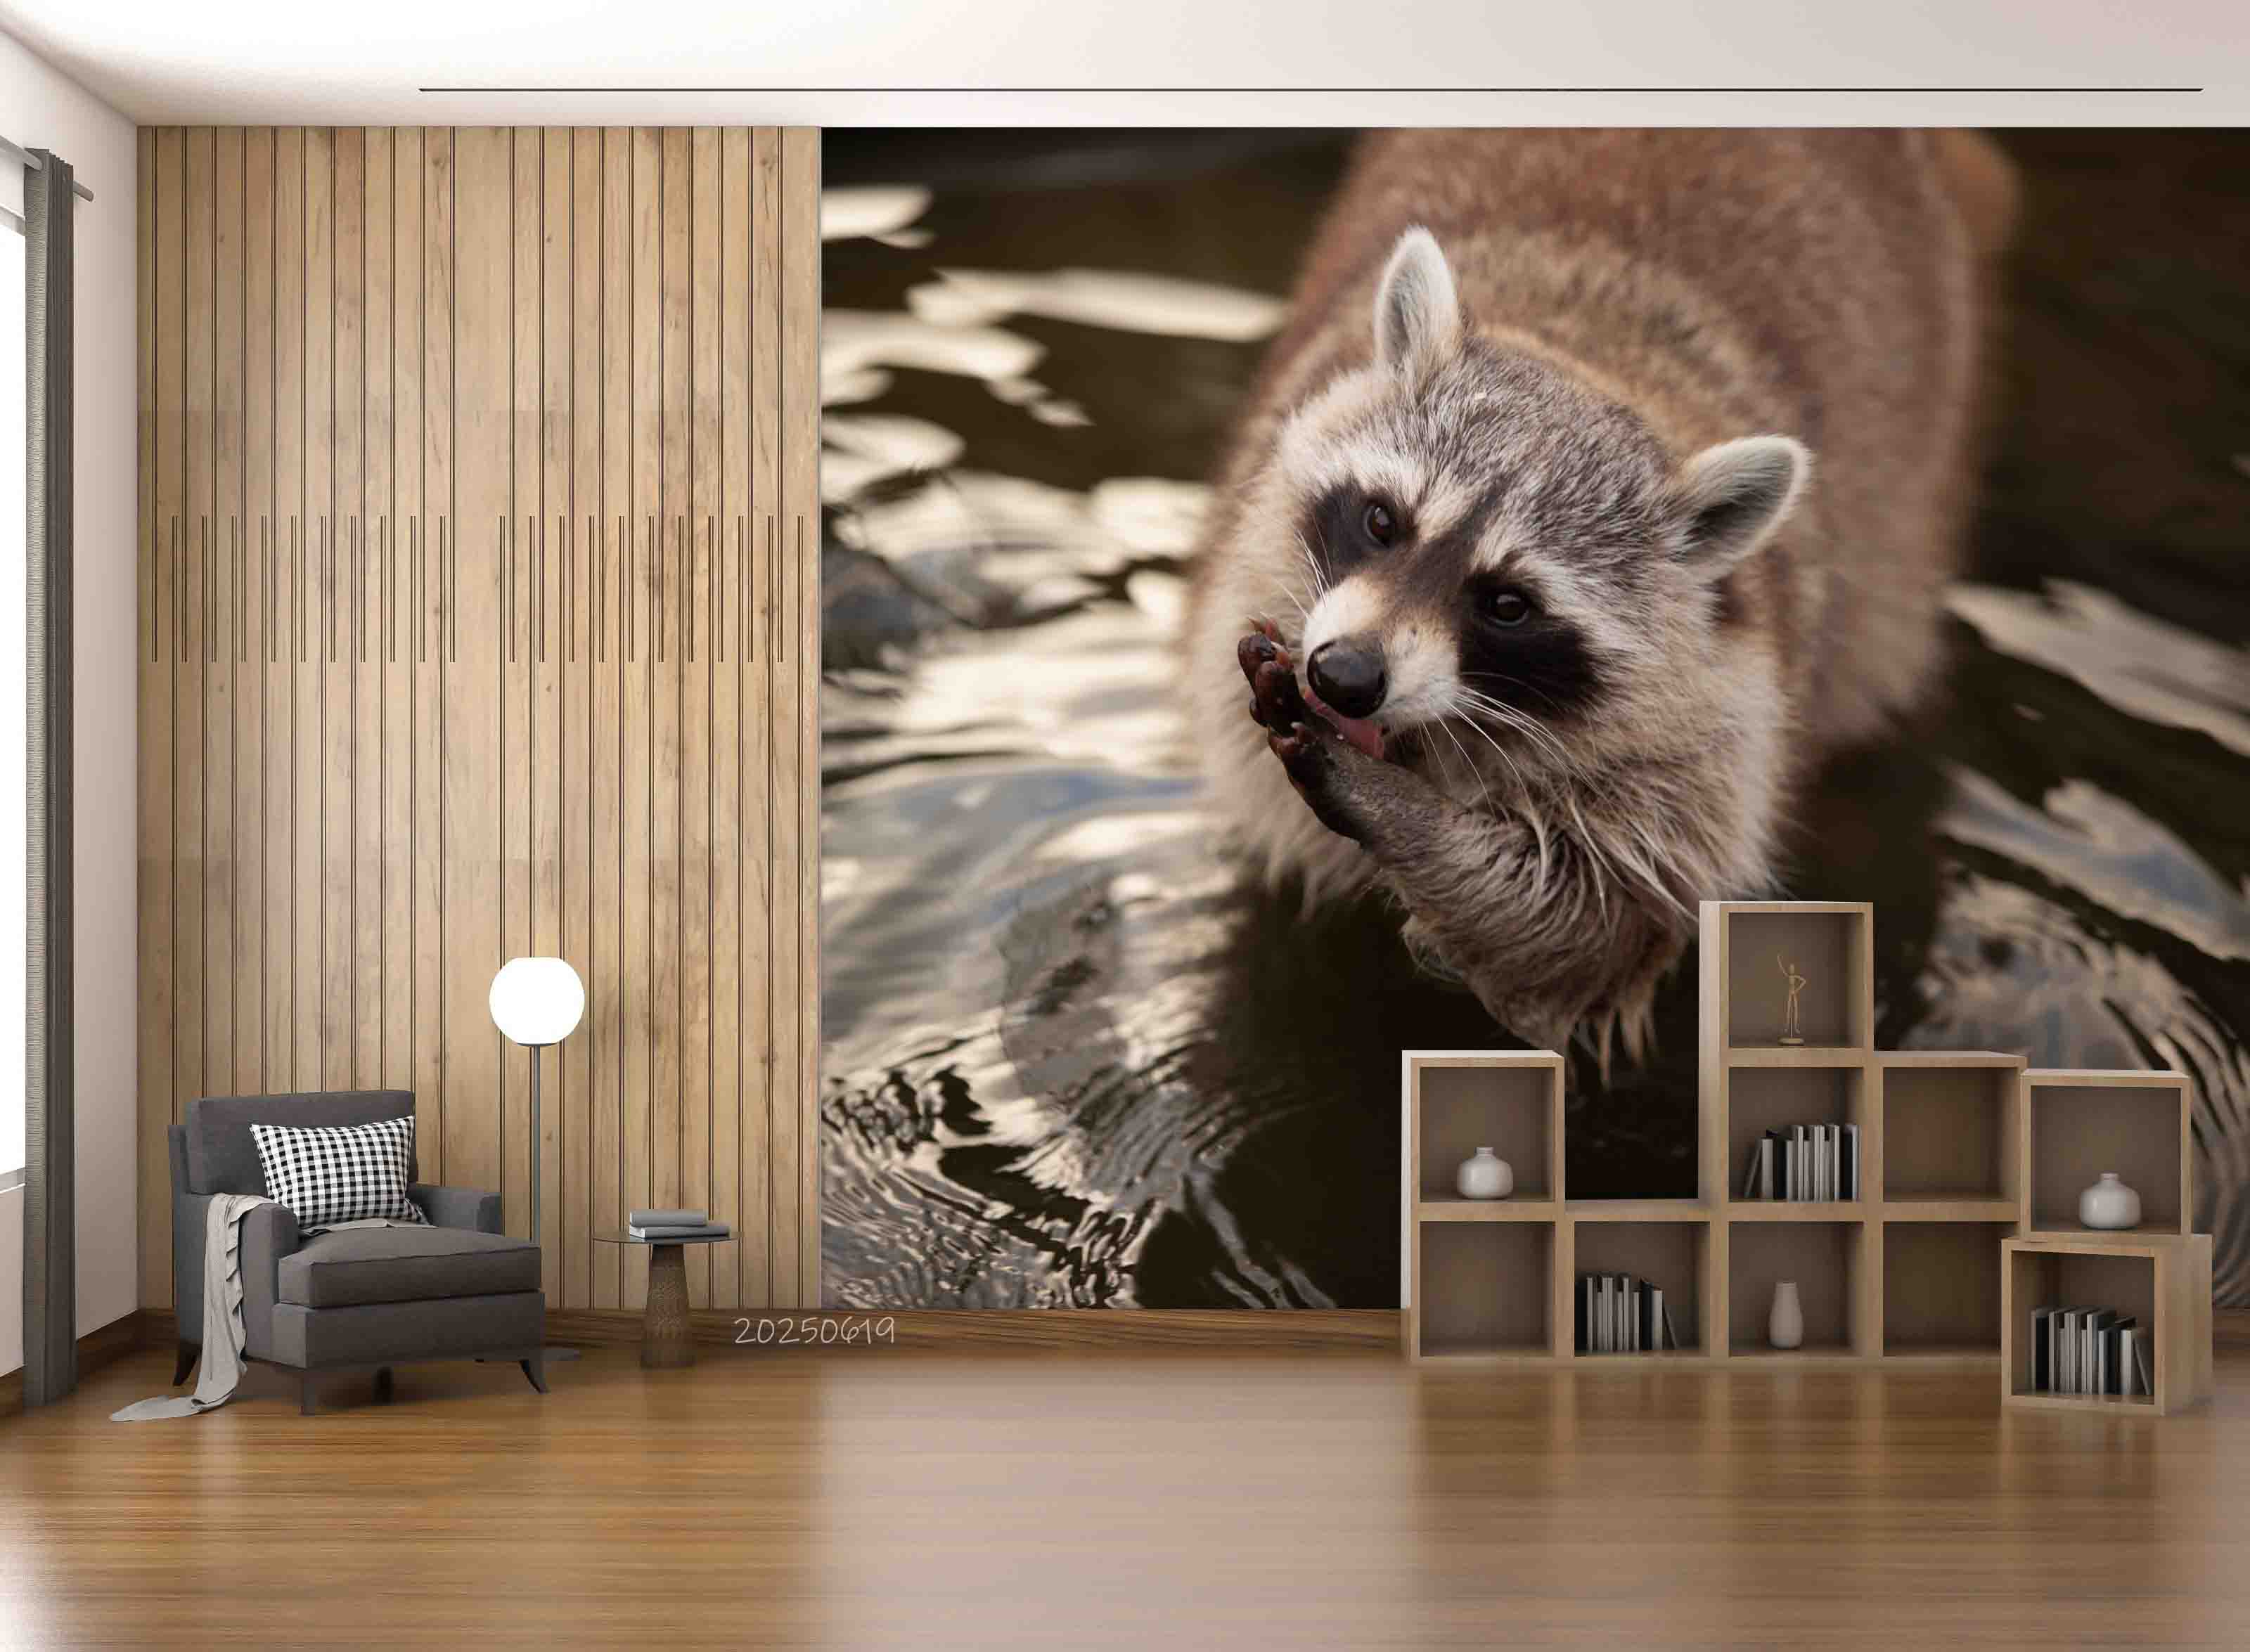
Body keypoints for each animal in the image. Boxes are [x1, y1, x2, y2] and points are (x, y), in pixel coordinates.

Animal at [1186, 130, 2014, 1058]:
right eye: (1380, 519)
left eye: (1508, 604)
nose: (1345, 678)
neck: (1594, 358)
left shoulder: (1716, 728)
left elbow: (1592, 926)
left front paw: (1399, 813)